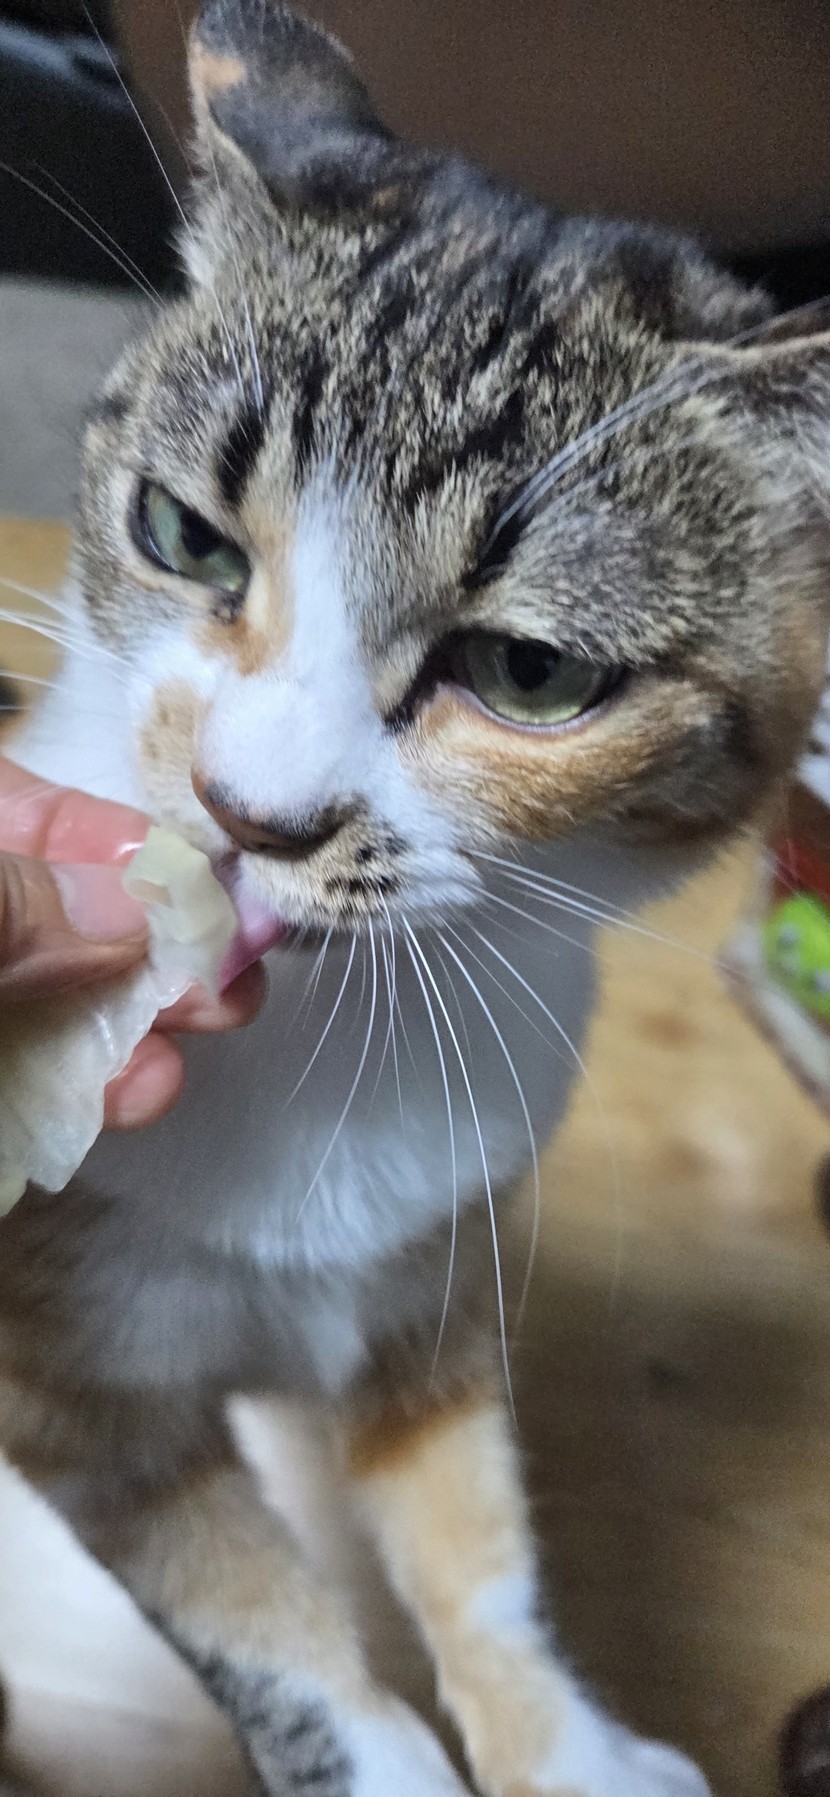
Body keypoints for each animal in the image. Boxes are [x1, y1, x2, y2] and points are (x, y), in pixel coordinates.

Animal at [2, 2, 829, 1793]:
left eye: (528, 674)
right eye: (182, 533)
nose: (250, 812)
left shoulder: (439, 1283)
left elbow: (476, 1551)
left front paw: (567, 1747)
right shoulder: (70, 1386)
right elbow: (256, 1617)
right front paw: (374, 1751)